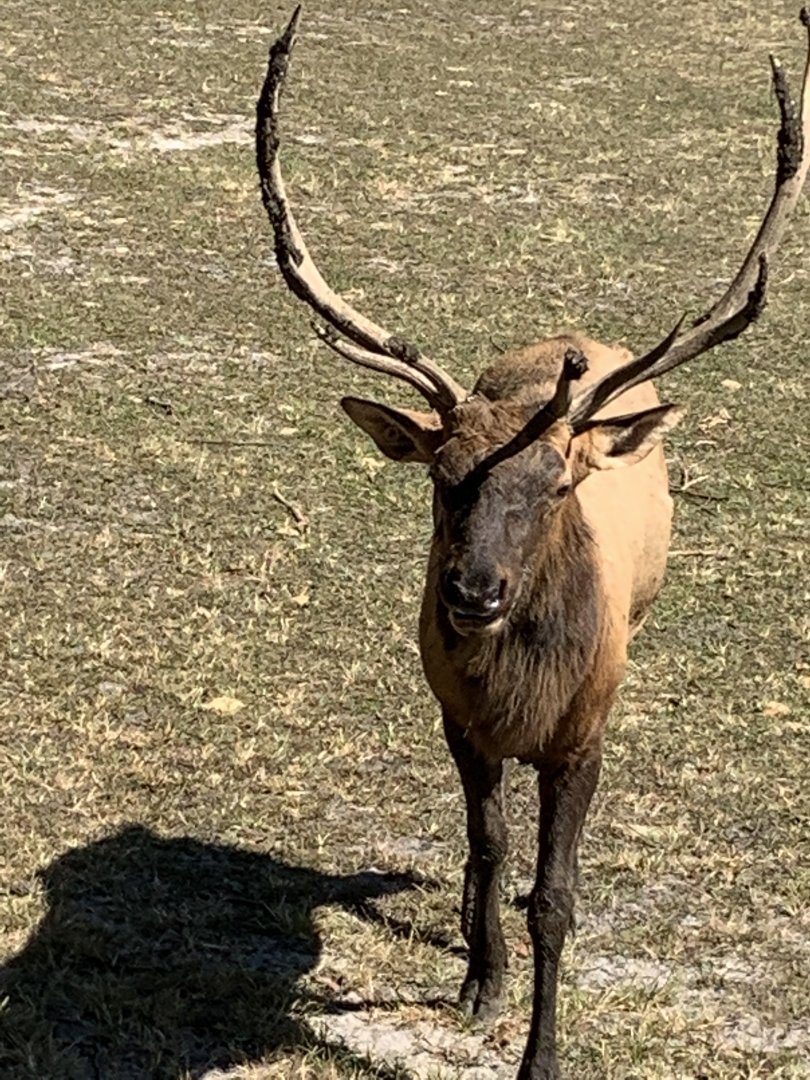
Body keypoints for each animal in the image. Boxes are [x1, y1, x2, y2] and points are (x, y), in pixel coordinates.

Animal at [255, 8, 810, 1078]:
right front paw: (482, 980)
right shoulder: (456, 719)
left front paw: (541, 1050)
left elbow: (556, 896)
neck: (517, 694)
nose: (472, 593)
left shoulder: (583, 732)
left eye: (557, 485)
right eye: (441, 474)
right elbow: (488, 843)